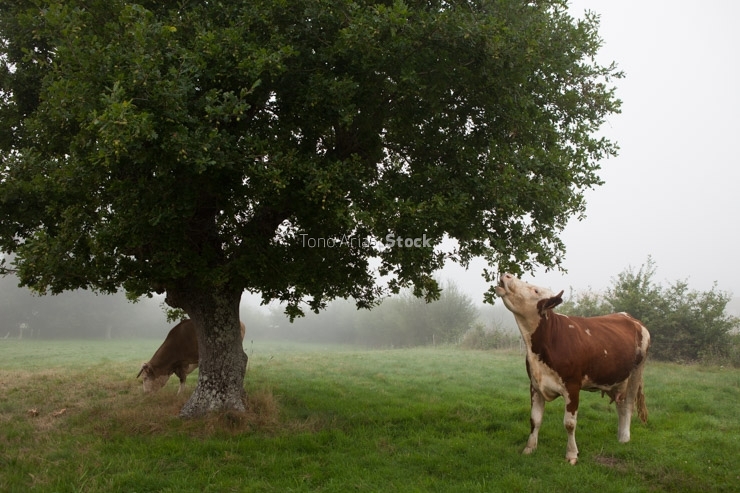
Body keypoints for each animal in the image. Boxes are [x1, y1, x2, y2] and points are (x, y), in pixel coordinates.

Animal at [495, 273, 650, 465]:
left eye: (535, 290)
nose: (507, 274)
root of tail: (630, 317)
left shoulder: (573, 386)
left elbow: (569, 423)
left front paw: (571, 454)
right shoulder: (535, 385)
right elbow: (535, 419)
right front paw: (529, 449)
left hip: (636, 372)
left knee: (628, 404)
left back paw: (625, 439)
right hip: (617, 379)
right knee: (620, 405)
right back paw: (620, 437)